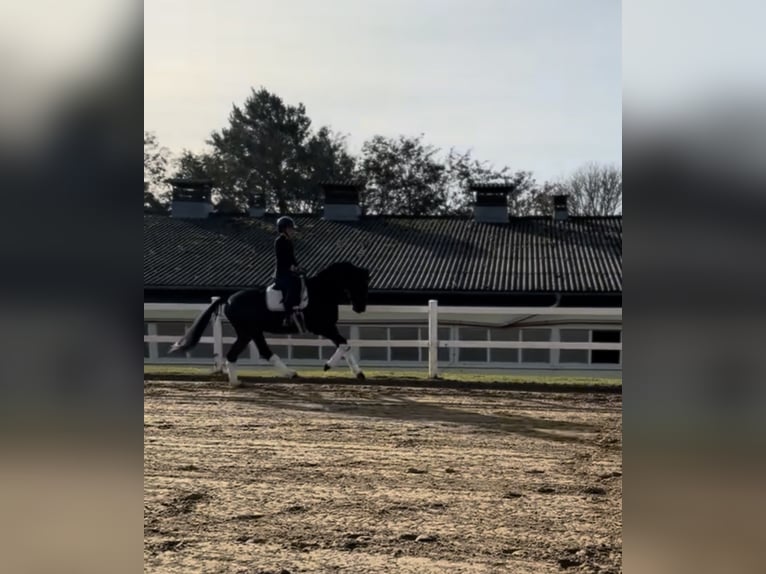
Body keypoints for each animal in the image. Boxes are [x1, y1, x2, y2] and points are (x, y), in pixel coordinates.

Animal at [169, 261, 371, 386]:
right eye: (359, 283)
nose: (360, 308)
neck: (322, 291)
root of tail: (228, 299)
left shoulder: (329, 326)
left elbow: (344, 344)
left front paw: (357, 373)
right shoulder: (323, 327)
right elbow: (343, 343)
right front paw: (330, 366)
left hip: (252, 332)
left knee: (256, 353)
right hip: (248, 331)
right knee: (242, 353)